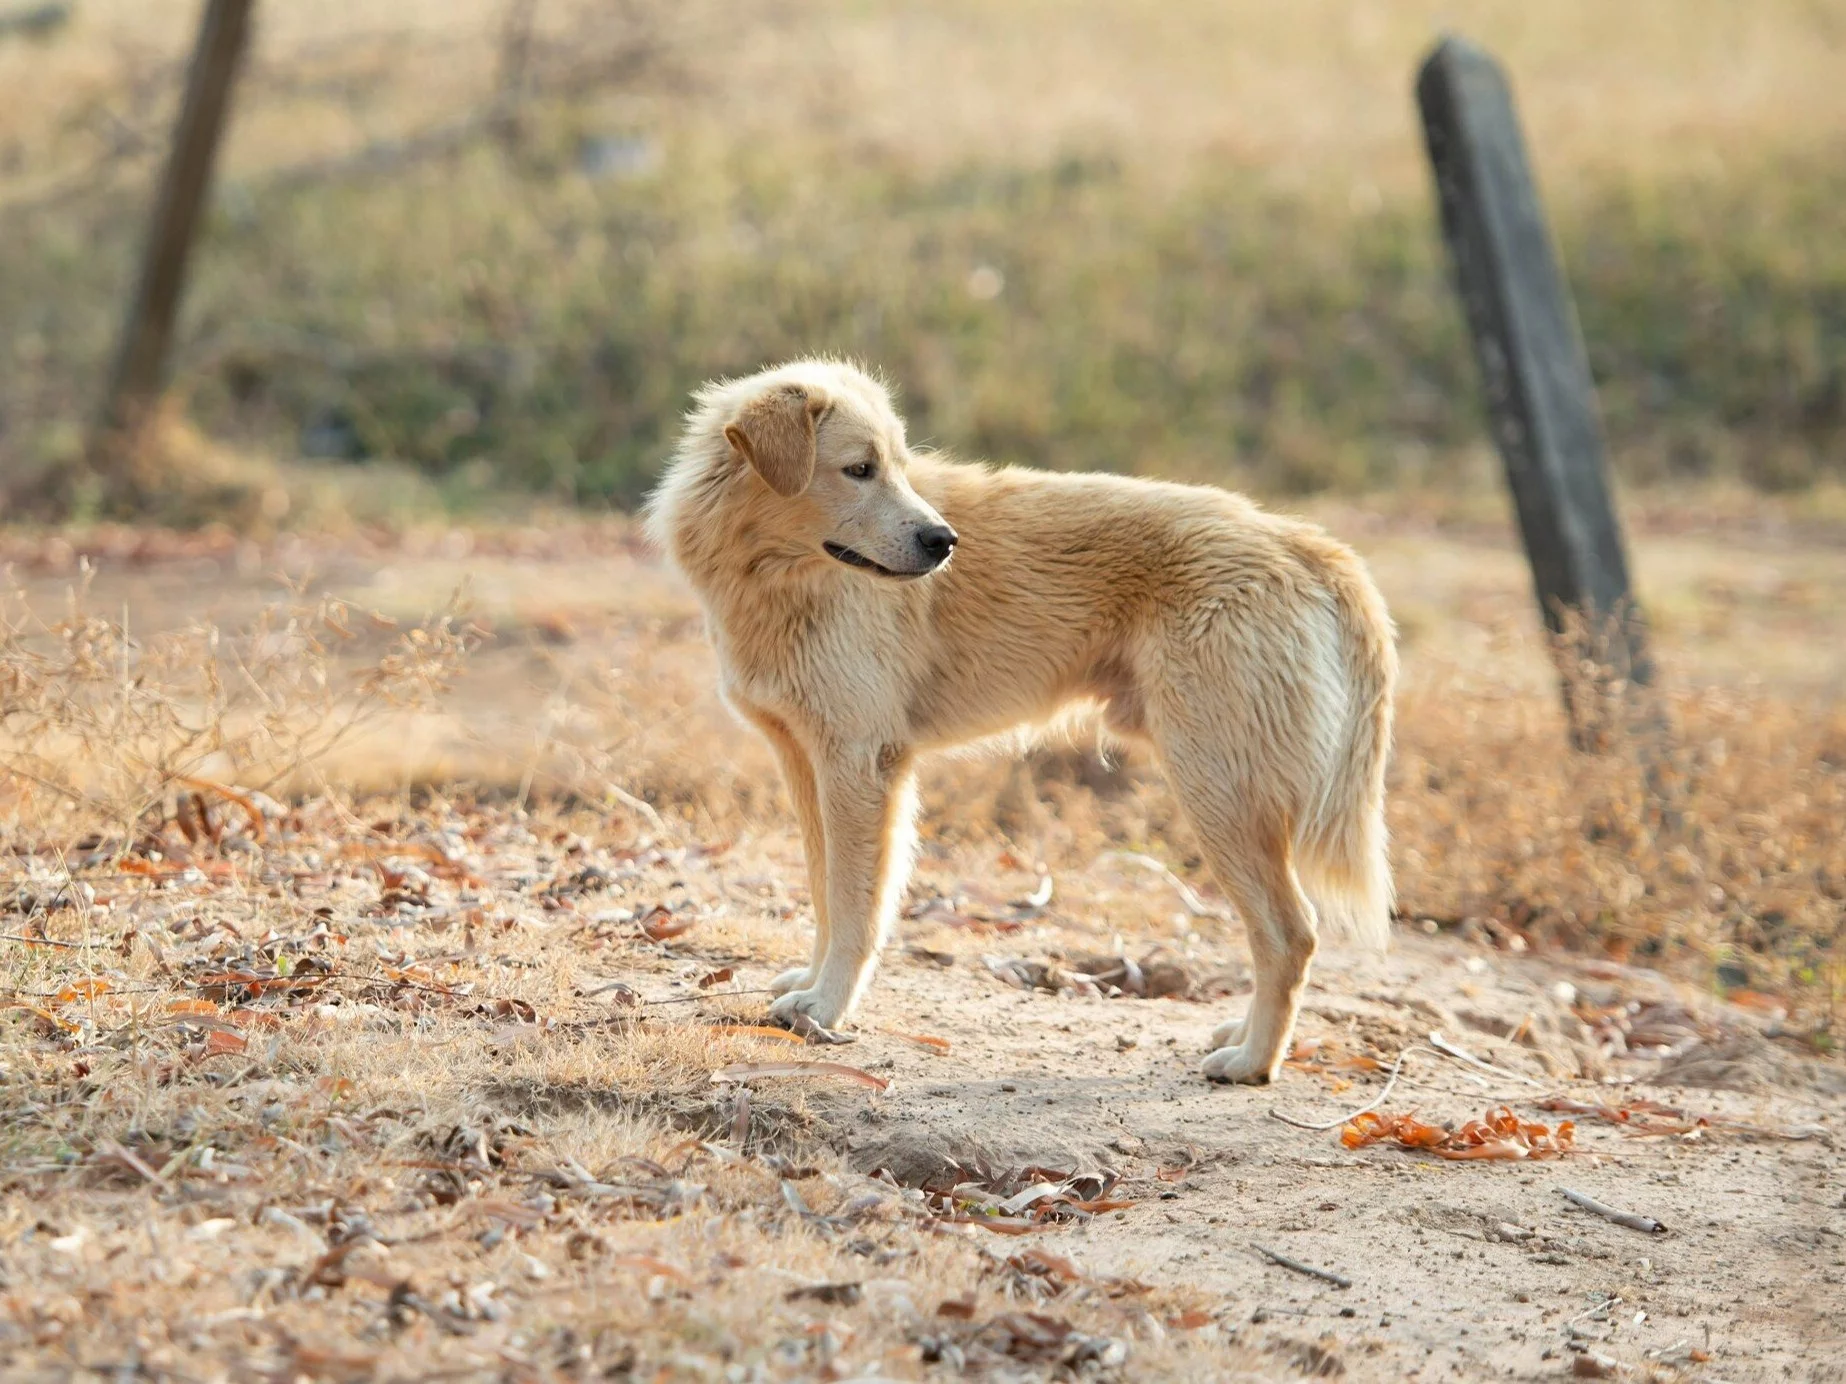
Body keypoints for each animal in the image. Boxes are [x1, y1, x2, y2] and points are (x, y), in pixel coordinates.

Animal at [649, 357, 1395, 1085]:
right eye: (860, 469)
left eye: (896, 467)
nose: (945, 542)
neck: (774, 575)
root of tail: (1295, 539)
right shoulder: (807, 763)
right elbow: (826, 894)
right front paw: (809, 984)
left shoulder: (860, 765)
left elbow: (858, 908)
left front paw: (828, 1007)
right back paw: (1241, 1038)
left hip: (1218, 789)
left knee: (1290, 933)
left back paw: (1252, 1062)